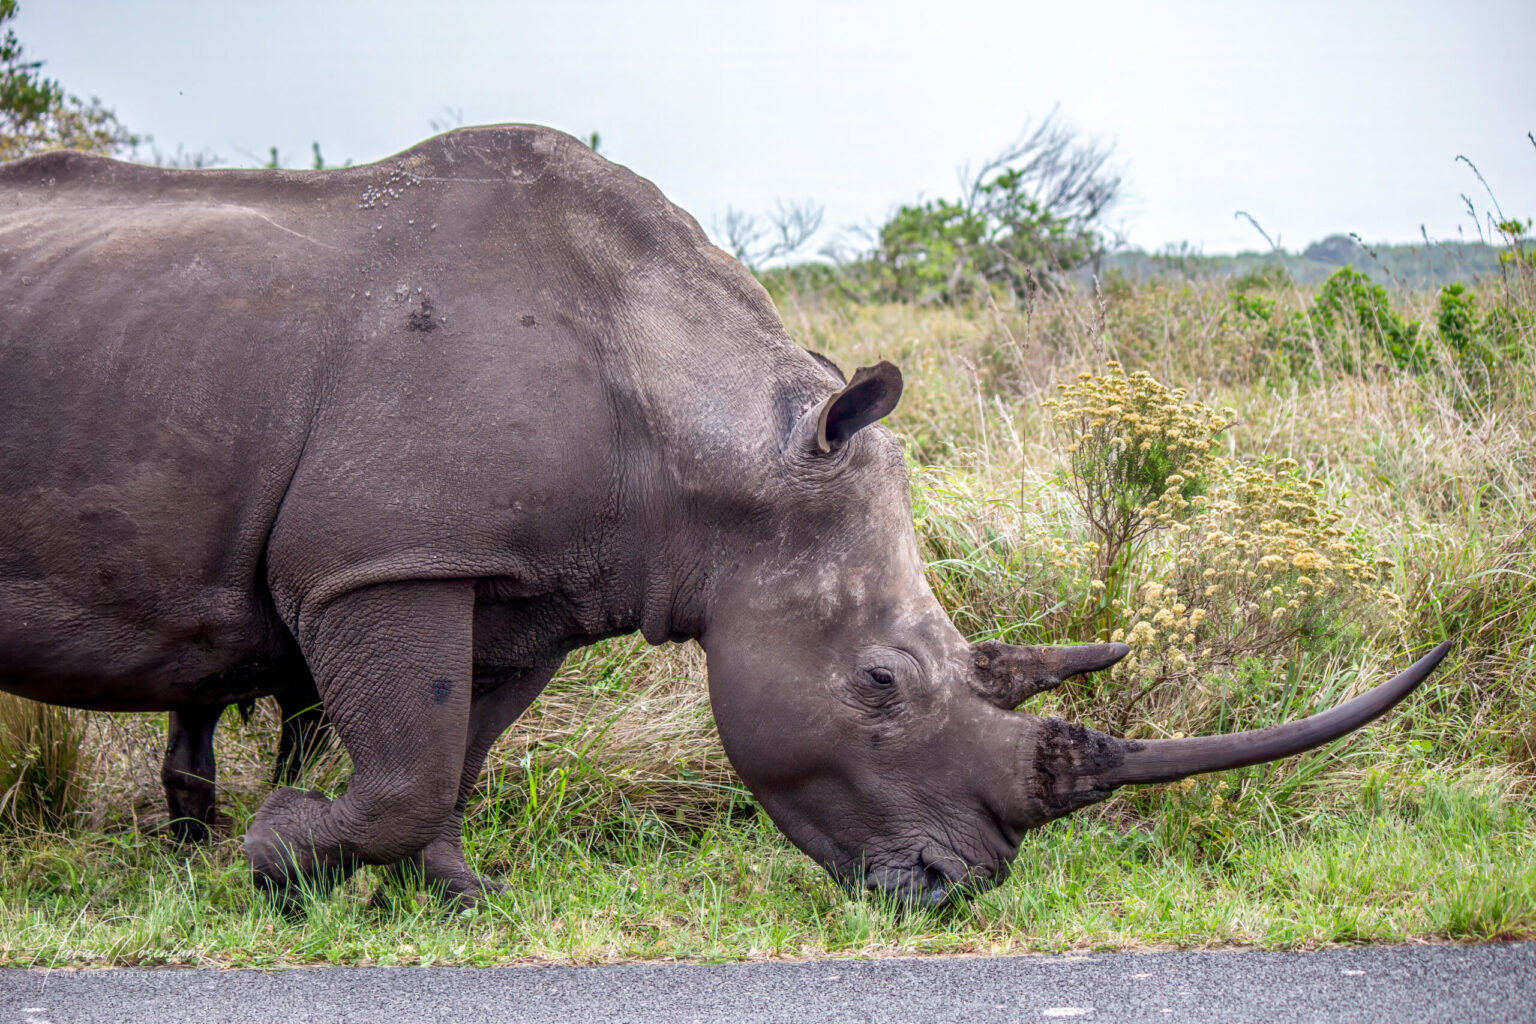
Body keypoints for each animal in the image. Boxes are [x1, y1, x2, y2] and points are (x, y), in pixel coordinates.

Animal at [0, 125, 1449, 907]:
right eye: (878, 683)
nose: (949, 891)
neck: (717, 447)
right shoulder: (380, 558)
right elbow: (408, 764)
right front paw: (276, 861)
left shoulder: (523, 580)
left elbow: (452, 752)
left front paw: (458, 897)